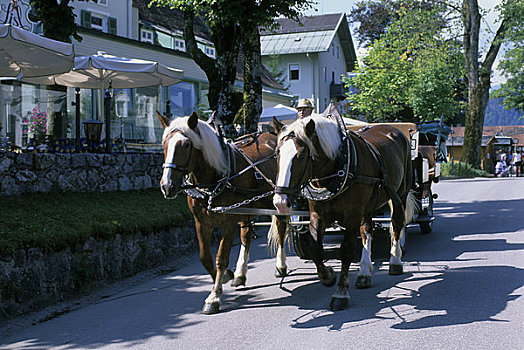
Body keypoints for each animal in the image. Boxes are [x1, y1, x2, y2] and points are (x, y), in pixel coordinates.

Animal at [160, 112, 290, 314]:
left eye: (186, 144)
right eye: (164, 143)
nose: (167, 186)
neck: (214, 178)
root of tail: (271, 136)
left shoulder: (229, 222)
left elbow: (221, 258)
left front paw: (214, 296)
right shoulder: (201, 223)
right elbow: (205, 258)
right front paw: (224, 278)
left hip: (276, 202)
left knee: (282, 227)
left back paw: (280, 265)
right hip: (248, 208)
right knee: (246, 235)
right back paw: (240, 274)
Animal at [272, 116, 416, 310]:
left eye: (301, 156)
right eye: (277, 154)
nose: (280, 202)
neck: (338, 170)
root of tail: (395, 130)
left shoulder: (353, 216)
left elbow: (346, 251)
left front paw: (341, 292)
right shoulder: (317, 215)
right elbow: (315, 248)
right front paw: (328, 276)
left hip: (400, 194)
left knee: (396, 224)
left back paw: (395, 261)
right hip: (369, 205)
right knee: (367, 230)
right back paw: (364, 273)